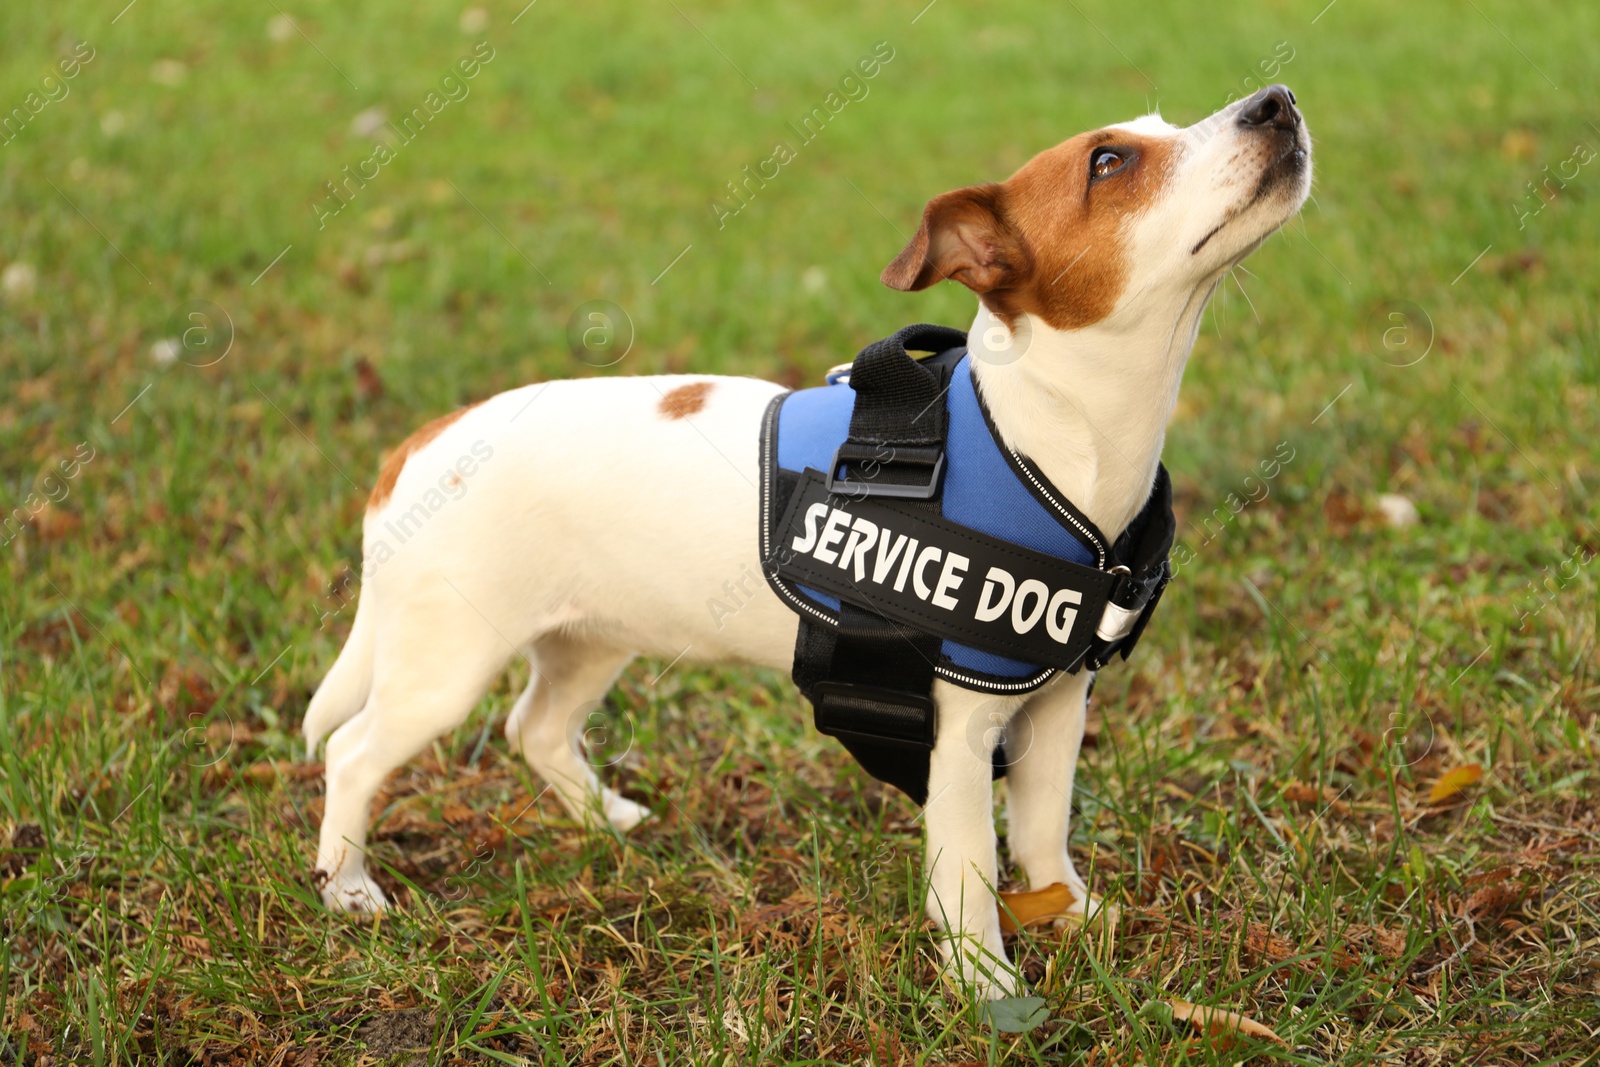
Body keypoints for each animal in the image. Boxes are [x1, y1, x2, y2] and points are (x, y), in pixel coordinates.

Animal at [302, 85, 1312, 1004]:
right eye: (1109, 162)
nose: (1278, 100)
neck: (1046, 435)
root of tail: (421, 441)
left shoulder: (1058, 706)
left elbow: (1039, 834)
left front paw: (1071, 910)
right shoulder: (955, 736)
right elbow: (969, 874)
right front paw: (985, 985)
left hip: (591, 639)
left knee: (537, 727)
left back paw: (605, 818)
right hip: (445, 665)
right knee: (354, 751)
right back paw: (348, 886)